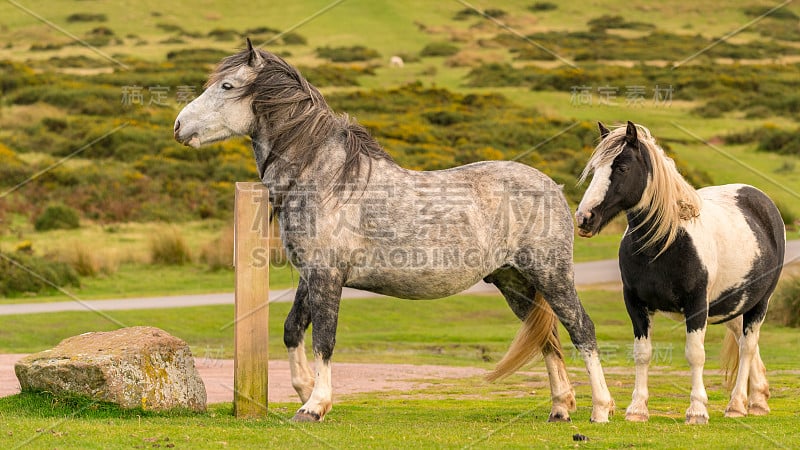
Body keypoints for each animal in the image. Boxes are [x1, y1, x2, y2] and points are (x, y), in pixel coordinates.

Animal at [175, 40, 612, 424]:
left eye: (227, 86)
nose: (179, 126)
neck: (327, 178)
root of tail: (551, 186)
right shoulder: (310, 276)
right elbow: (292, 330)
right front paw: (304, 391)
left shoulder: (327, 277)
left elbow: (324, 339)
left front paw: (315, 406)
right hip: (514, 282)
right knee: (547, 338)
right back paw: (560, 408)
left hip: (551, 275)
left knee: (581, 329)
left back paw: (600, 410)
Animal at [580, 121, 784, 424]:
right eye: (595, 169)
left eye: (622, 168)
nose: (584, 218)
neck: (666, 241)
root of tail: (761, 200)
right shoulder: (635, 304)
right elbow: (642, 353)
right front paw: (637, 409)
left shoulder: (696, 305)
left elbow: (695, 354)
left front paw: (697, 410)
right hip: (734, 306)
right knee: (745, 341)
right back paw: (758, 400)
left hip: (760, 303)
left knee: (748, 347)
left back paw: (737, 405)